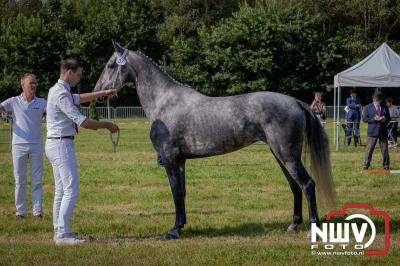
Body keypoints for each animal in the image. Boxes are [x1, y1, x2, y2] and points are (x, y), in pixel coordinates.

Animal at [94, 41, 334, 239]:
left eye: (111, 65)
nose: (98, 92)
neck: (164, 101)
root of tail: (295, 102)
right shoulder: (180, 160)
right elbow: (181, 193)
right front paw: (181, 225)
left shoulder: (170, 159)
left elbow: (175, 192)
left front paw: (174, 230)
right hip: (281, 156)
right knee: (295, 186)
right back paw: (293, 225)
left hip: (287, 156)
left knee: (307, 184)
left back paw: (313, 230)